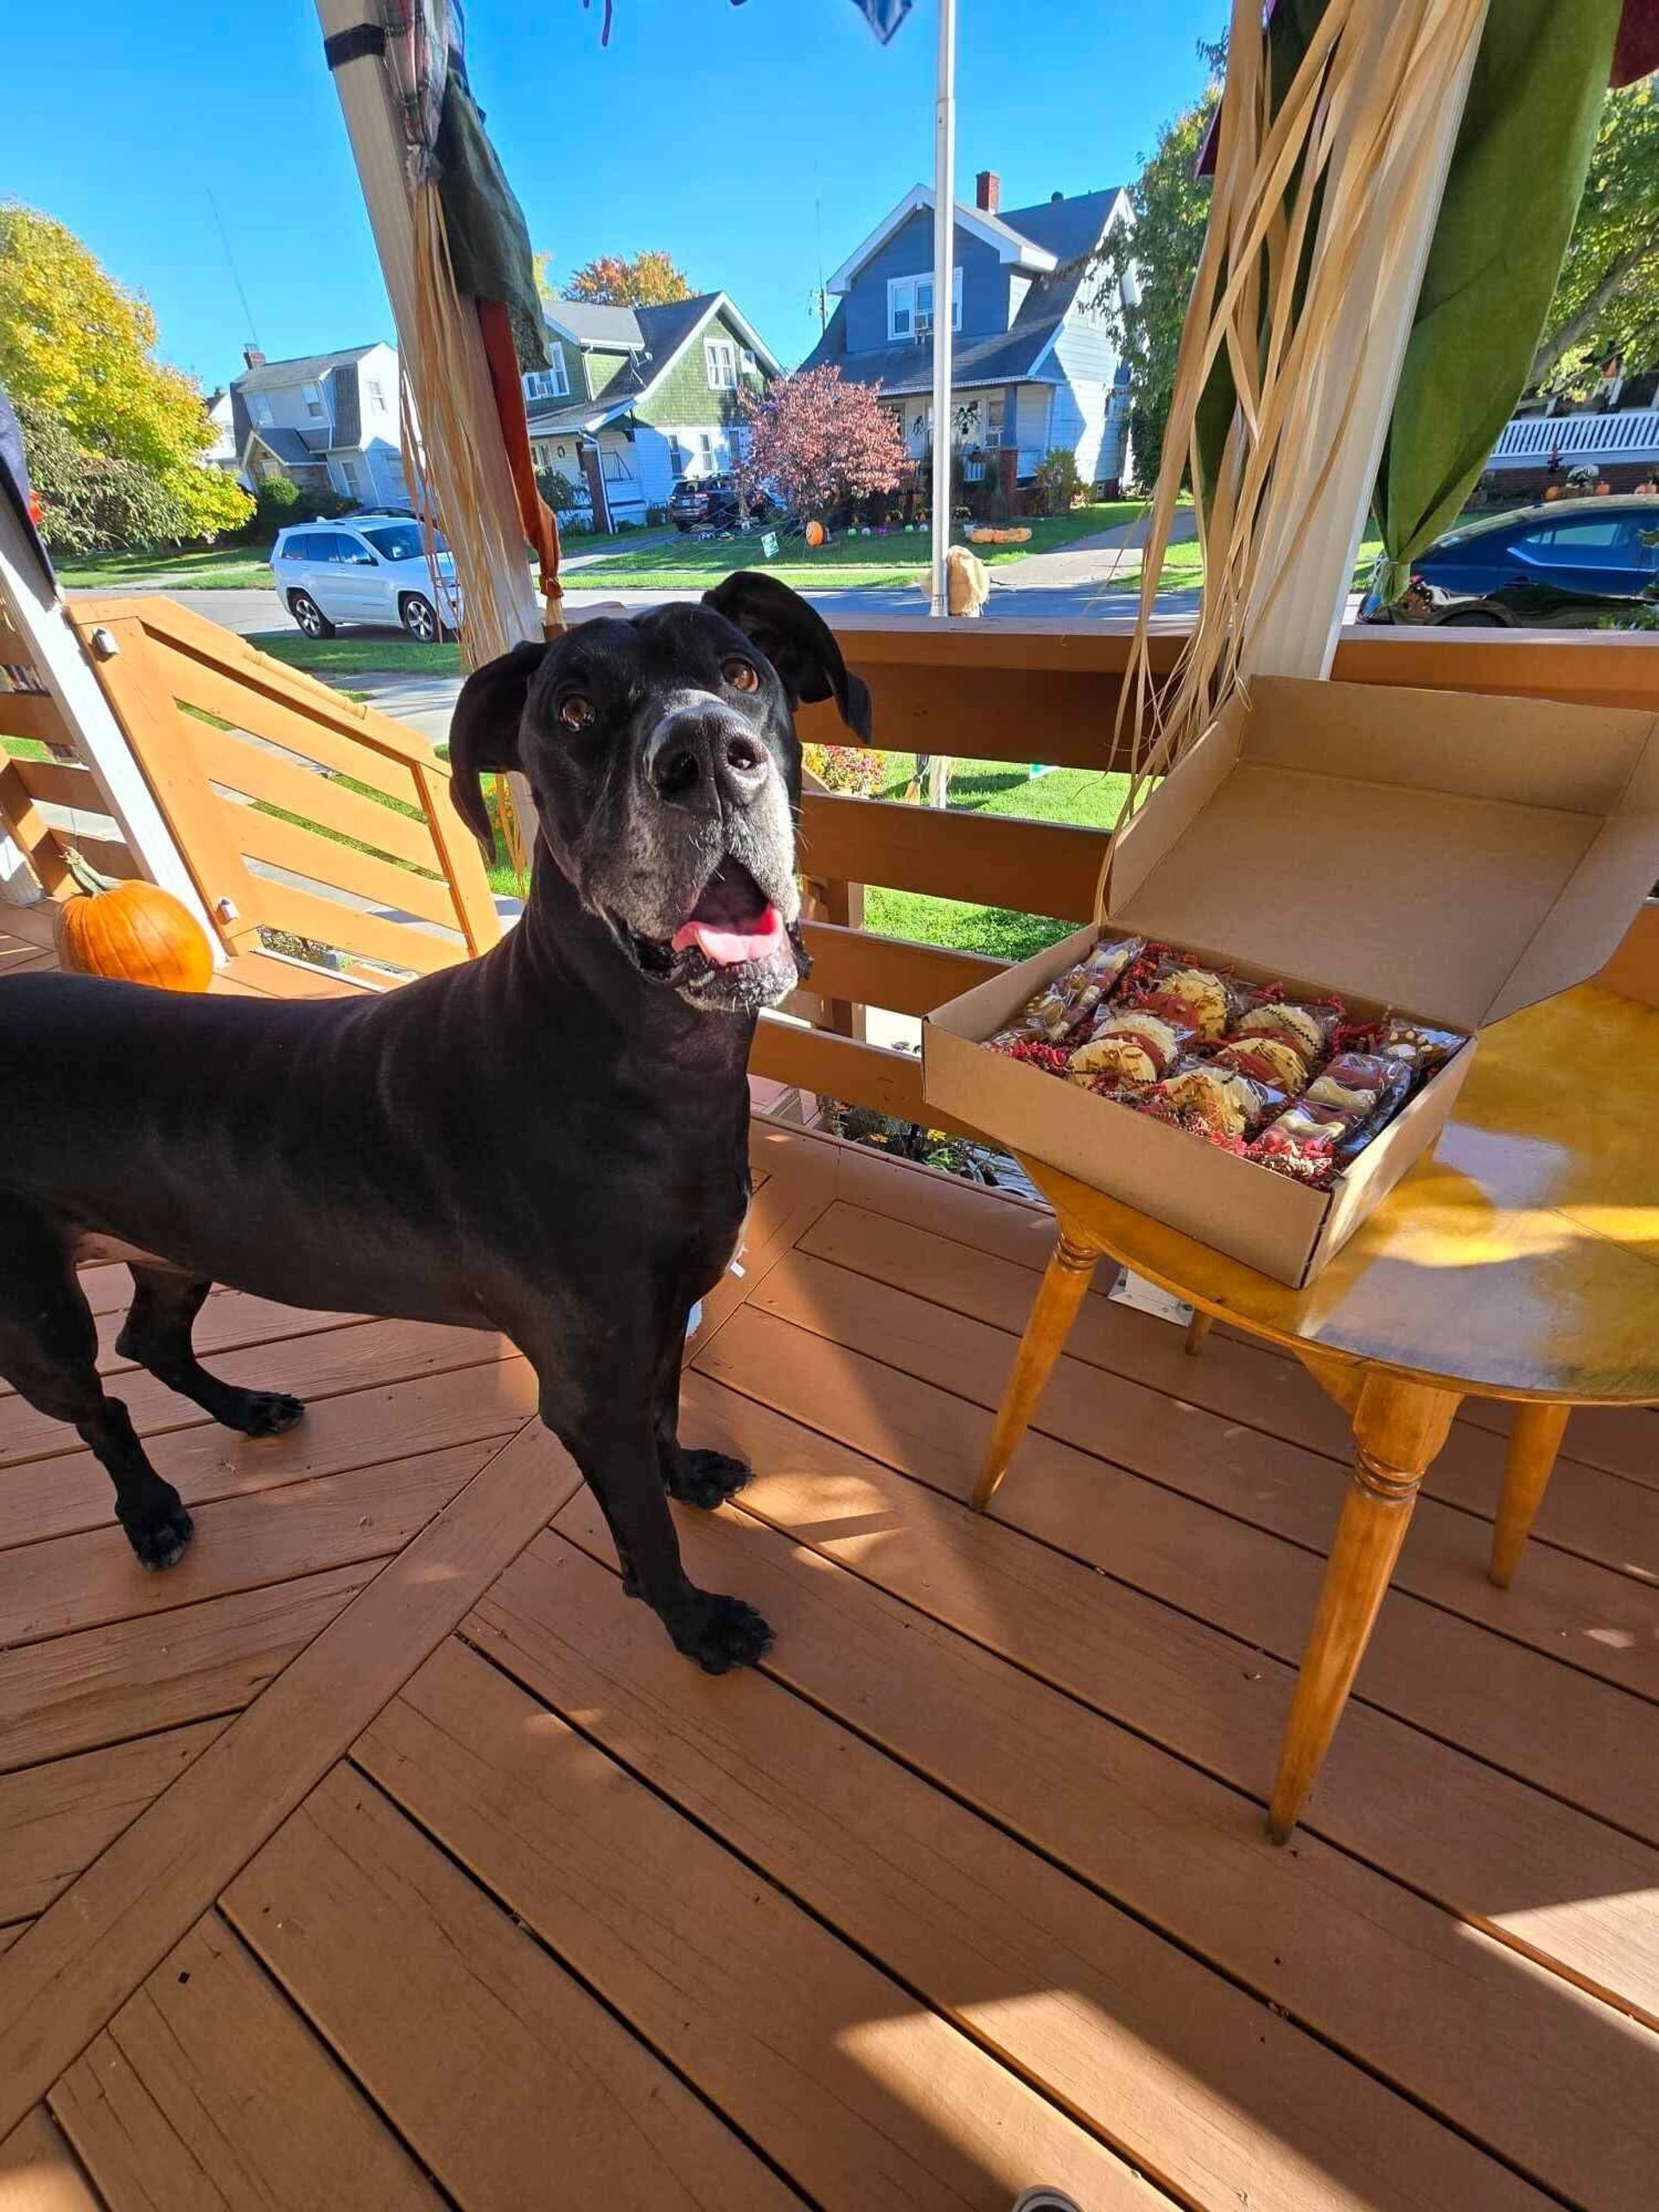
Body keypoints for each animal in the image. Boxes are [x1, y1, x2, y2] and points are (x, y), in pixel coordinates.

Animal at [0, 579, 875, 1663]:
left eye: (743, 671)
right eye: (574, 712)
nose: (706, 753)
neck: (642, 1053)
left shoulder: (666, 1311)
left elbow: (667, 1410)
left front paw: (688, 1475)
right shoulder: (588, 1388)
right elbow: (643, 1528)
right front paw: (692, 1621)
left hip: (171, 1243)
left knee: (150, 1341)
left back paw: (244, 1409)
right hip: (33, 1317)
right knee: (98, 1404)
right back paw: (152, 1508)